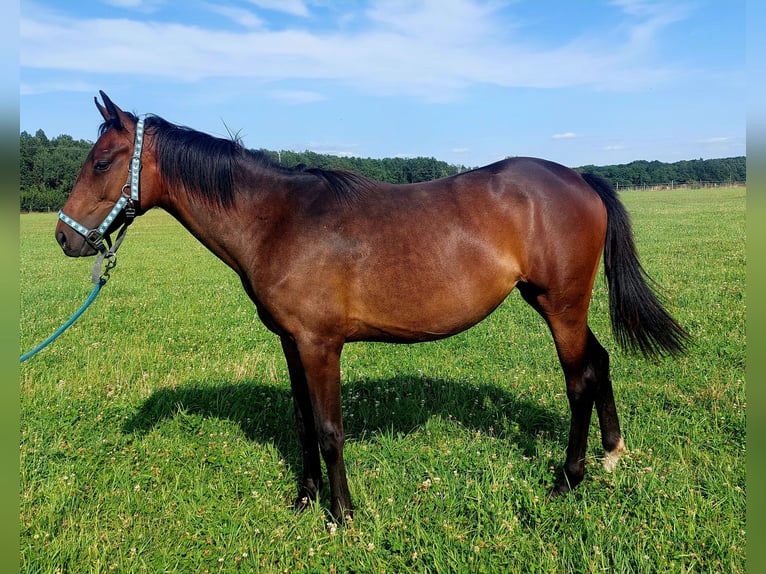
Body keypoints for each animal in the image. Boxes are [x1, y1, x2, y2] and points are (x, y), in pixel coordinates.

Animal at [55, 92, 688, 524]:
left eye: (103, 162)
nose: (64, 237)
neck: (276, 220)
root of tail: (577, 178)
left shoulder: (321, 345)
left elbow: (331, 428)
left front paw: (342, 515)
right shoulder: (292, 343)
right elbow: (304, 421)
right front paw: (304, 499)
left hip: (561, 307)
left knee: (579, 380)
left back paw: (568, 478)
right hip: (555, 304)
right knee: (599, 363)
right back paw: (611, 454)